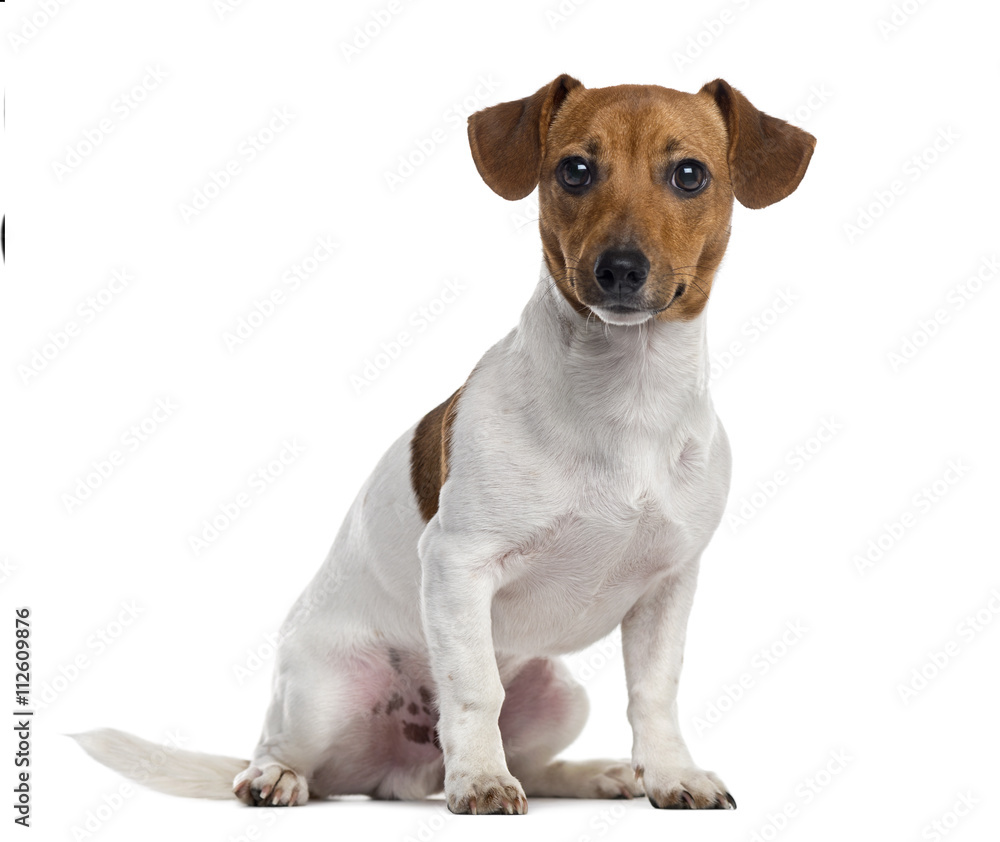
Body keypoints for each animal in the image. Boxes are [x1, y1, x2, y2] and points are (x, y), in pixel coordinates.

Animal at [78, 75, 812, 812]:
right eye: (575, 170)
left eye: (690, 175)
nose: (620, 269)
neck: (627, 395)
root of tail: (403, 772)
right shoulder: (460, 564)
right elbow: (475, 689)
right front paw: (481, 779)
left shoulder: (667, 586)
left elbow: (654, 692)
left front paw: (670, 775)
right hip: (322, 693)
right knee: (286, 753)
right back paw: (276, 778)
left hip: (558, 694)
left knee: (536, 763)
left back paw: (597, 775)